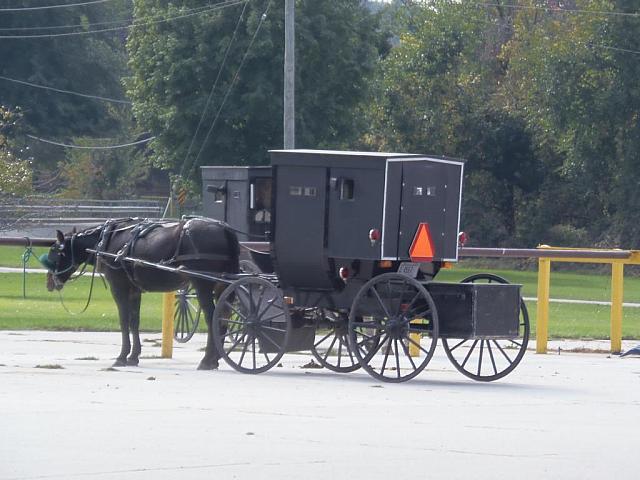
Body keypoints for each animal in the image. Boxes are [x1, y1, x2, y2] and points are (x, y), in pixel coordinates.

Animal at [40, 218, 240, 372]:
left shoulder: (119, 287)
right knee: (223, 318)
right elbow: (134, 321)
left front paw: (122, 356)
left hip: (202, 285)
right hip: (221, 285)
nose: (49, 282)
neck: (107, 240)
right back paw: (216, 358)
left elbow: (124, 320)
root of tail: (224, 228)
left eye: (54, 251)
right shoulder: (134, 291)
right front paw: (133, 356)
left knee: (213, 318)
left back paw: (207, 360)